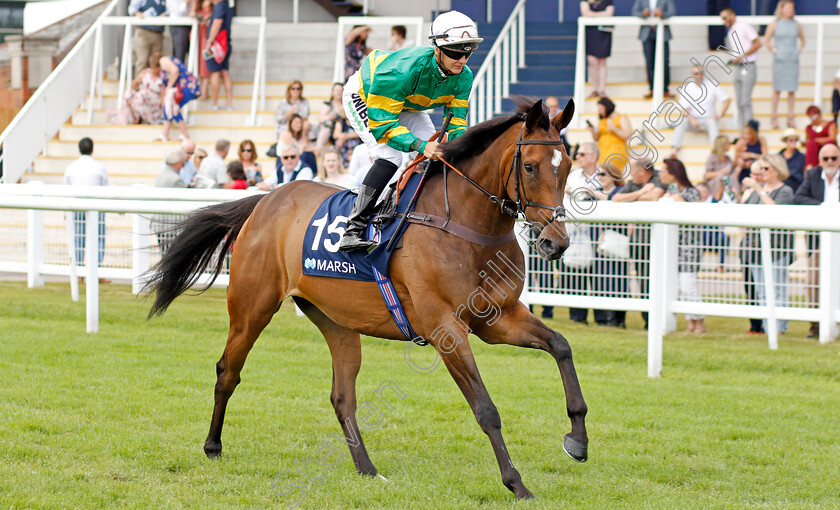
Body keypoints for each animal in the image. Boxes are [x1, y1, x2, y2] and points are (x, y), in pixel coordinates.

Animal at [144, 97, 588, 500]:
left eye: (566, 166)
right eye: (529, 166)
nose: (556, 243)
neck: (464, 225)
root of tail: (266, 199)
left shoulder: (497, 319)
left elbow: (561, 346)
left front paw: (577, 440)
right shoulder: (445, 327)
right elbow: (486, 409)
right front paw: (517, 483)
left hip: (336, 321)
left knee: (342, 397)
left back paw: (367, 468)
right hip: (251, 308)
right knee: (227, 372)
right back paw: (213, 446)